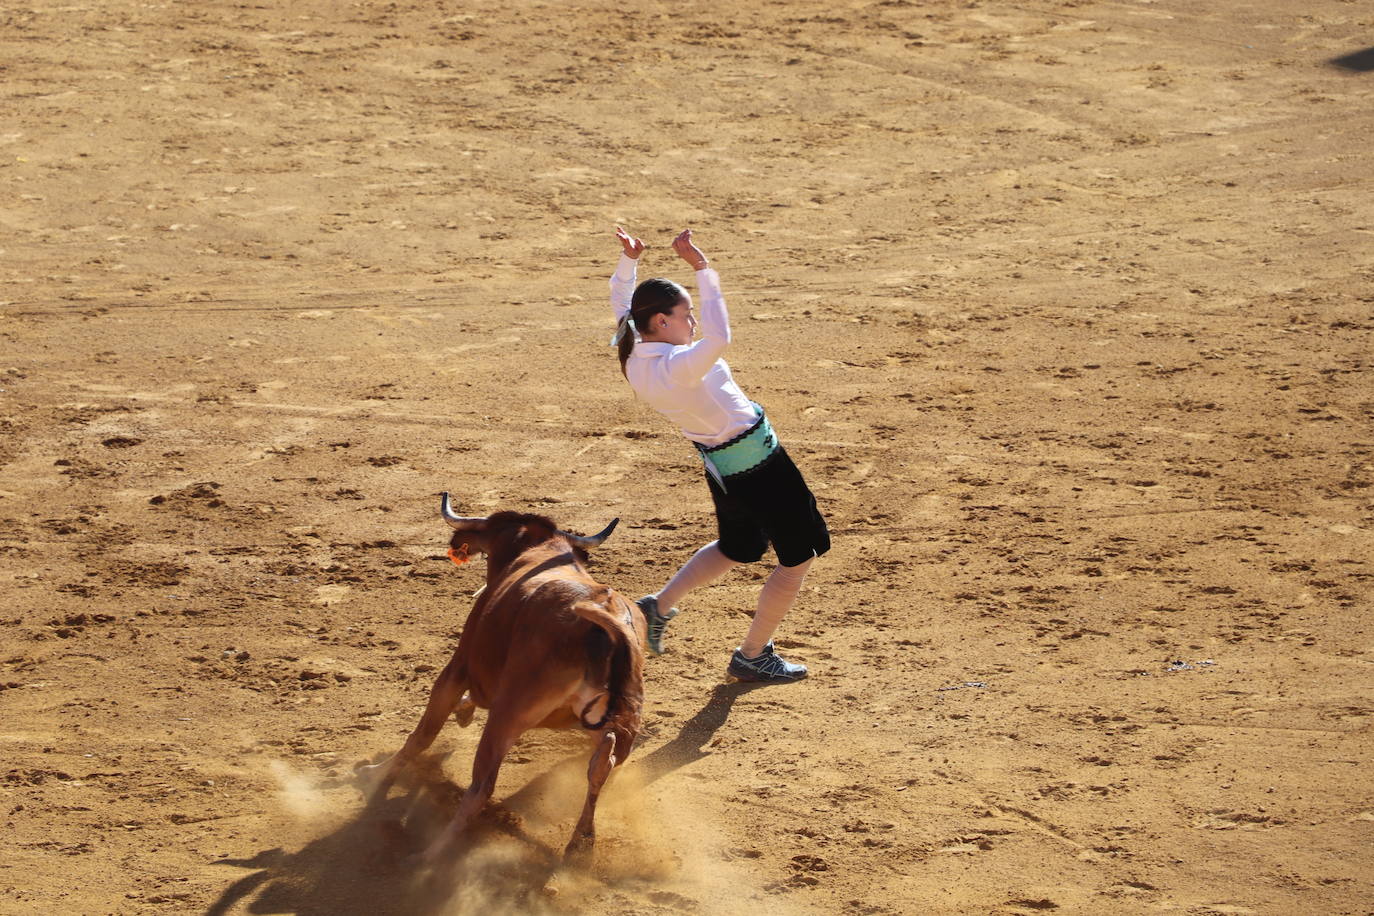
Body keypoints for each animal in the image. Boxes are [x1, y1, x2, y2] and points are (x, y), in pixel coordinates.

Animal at [362, 494, 645, 862]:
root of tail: (602, 623)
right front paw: (464, 712)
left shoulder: (457, 668)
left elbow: (422, 735)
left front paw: (376, 775)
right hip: (620, 721)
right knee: (604, 765)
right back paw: (580, 844)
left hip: (507, 716)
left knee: (482, 786)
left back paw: (432, 852)